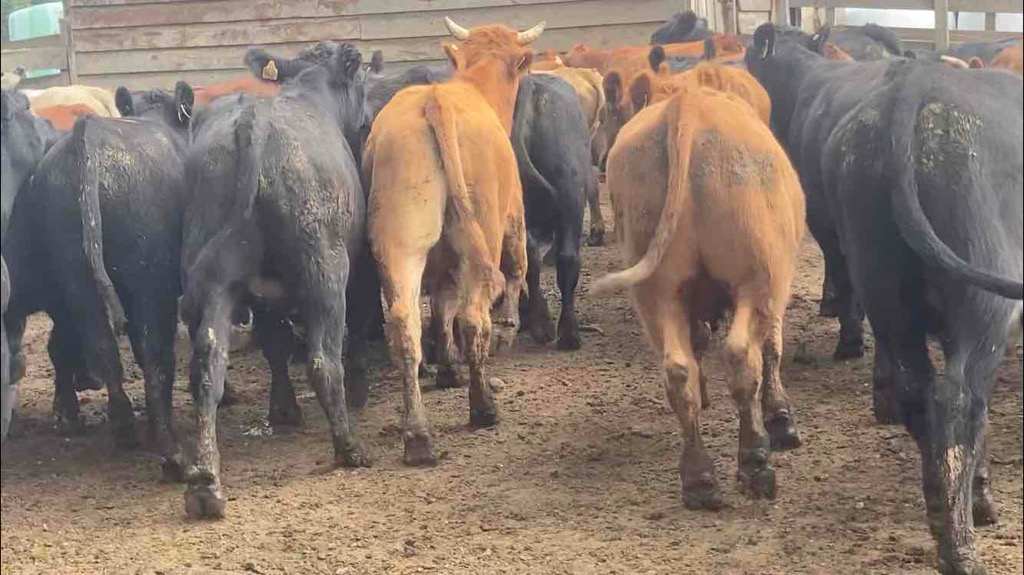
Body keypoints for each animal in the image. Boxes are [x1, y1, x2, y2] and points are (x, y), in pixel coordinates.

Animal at [3, 84, 194, 481]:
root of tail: (87, 135)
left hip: (77, 278)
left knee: (101, 348)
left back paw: (120, 426)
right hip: (149, 285)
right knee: (154, 354)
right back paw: (167, 445)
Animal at [180, 41, 373, 519]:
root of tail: (254, 124)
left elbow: (275, 345)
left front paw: (283, 409)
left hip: (217, 281)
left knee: (207, 365)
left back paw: (206, 484)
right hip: (326, 271)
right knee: (324, 359)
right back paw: (349, 448)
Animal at [363, 18, 544, 466]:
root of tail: (435, 102)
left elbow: (441, 307)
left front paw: (447, 367)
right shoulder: (513, 219)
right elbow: (516, 273)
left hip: (400, 244)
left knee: (405, 325)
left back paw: (418, 437)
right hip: (484, 234)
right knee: (474, 316)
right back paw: (483, 408)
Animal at [591, 82, 805, 510]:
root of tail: (687, 105)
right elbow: (772, 348)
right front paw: (780, 418)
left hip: (657, 291)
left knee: (677, 368)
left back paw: (698, 478)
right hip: (756, 280)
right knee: (742, 356)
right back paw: (755, 462)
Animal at [751, 23, 1023, 574]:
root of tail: (915, 91)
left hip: (884, 280)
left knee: (920, 390)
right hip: (985, 302)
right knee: (960, 399)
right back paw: (962, 541)